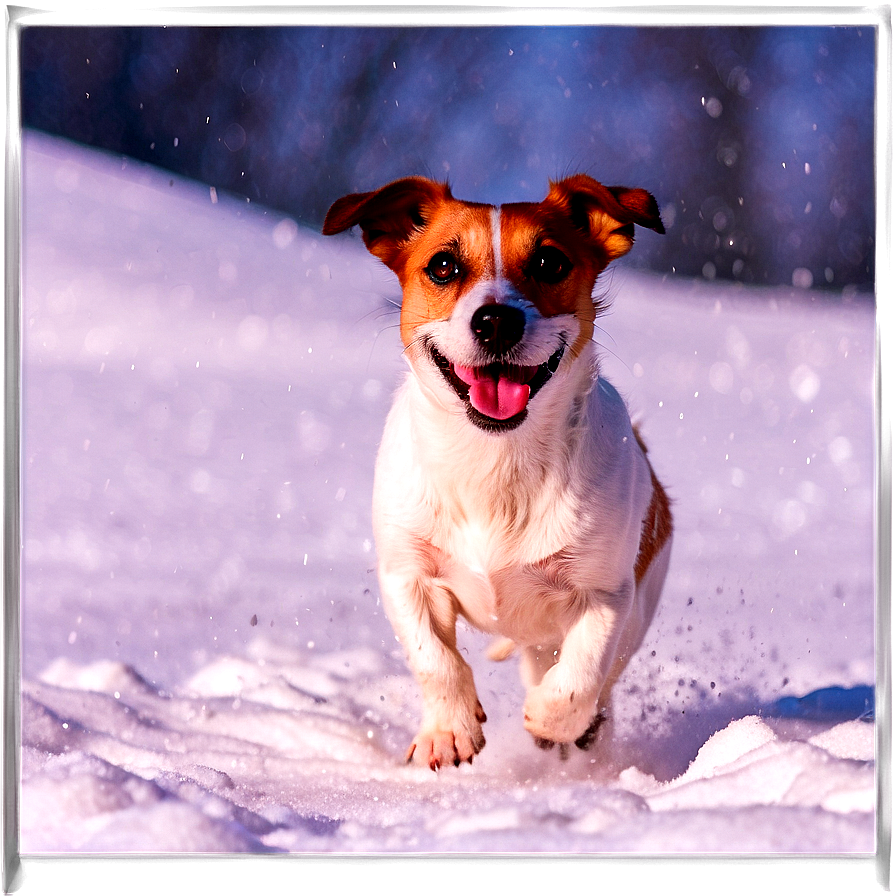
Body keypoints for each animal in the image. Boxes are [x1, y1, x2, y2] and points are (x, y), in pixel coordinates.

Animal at [324, 173, 672, 768]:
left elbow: (581, 673)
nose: (496, 319)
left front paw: (551, 718)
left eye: (550, 262)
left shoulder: (605, 591)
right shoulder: (407, 573)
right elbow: (435, 659)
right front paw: (449, 729)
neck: (496, 462)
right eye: (443, 265)